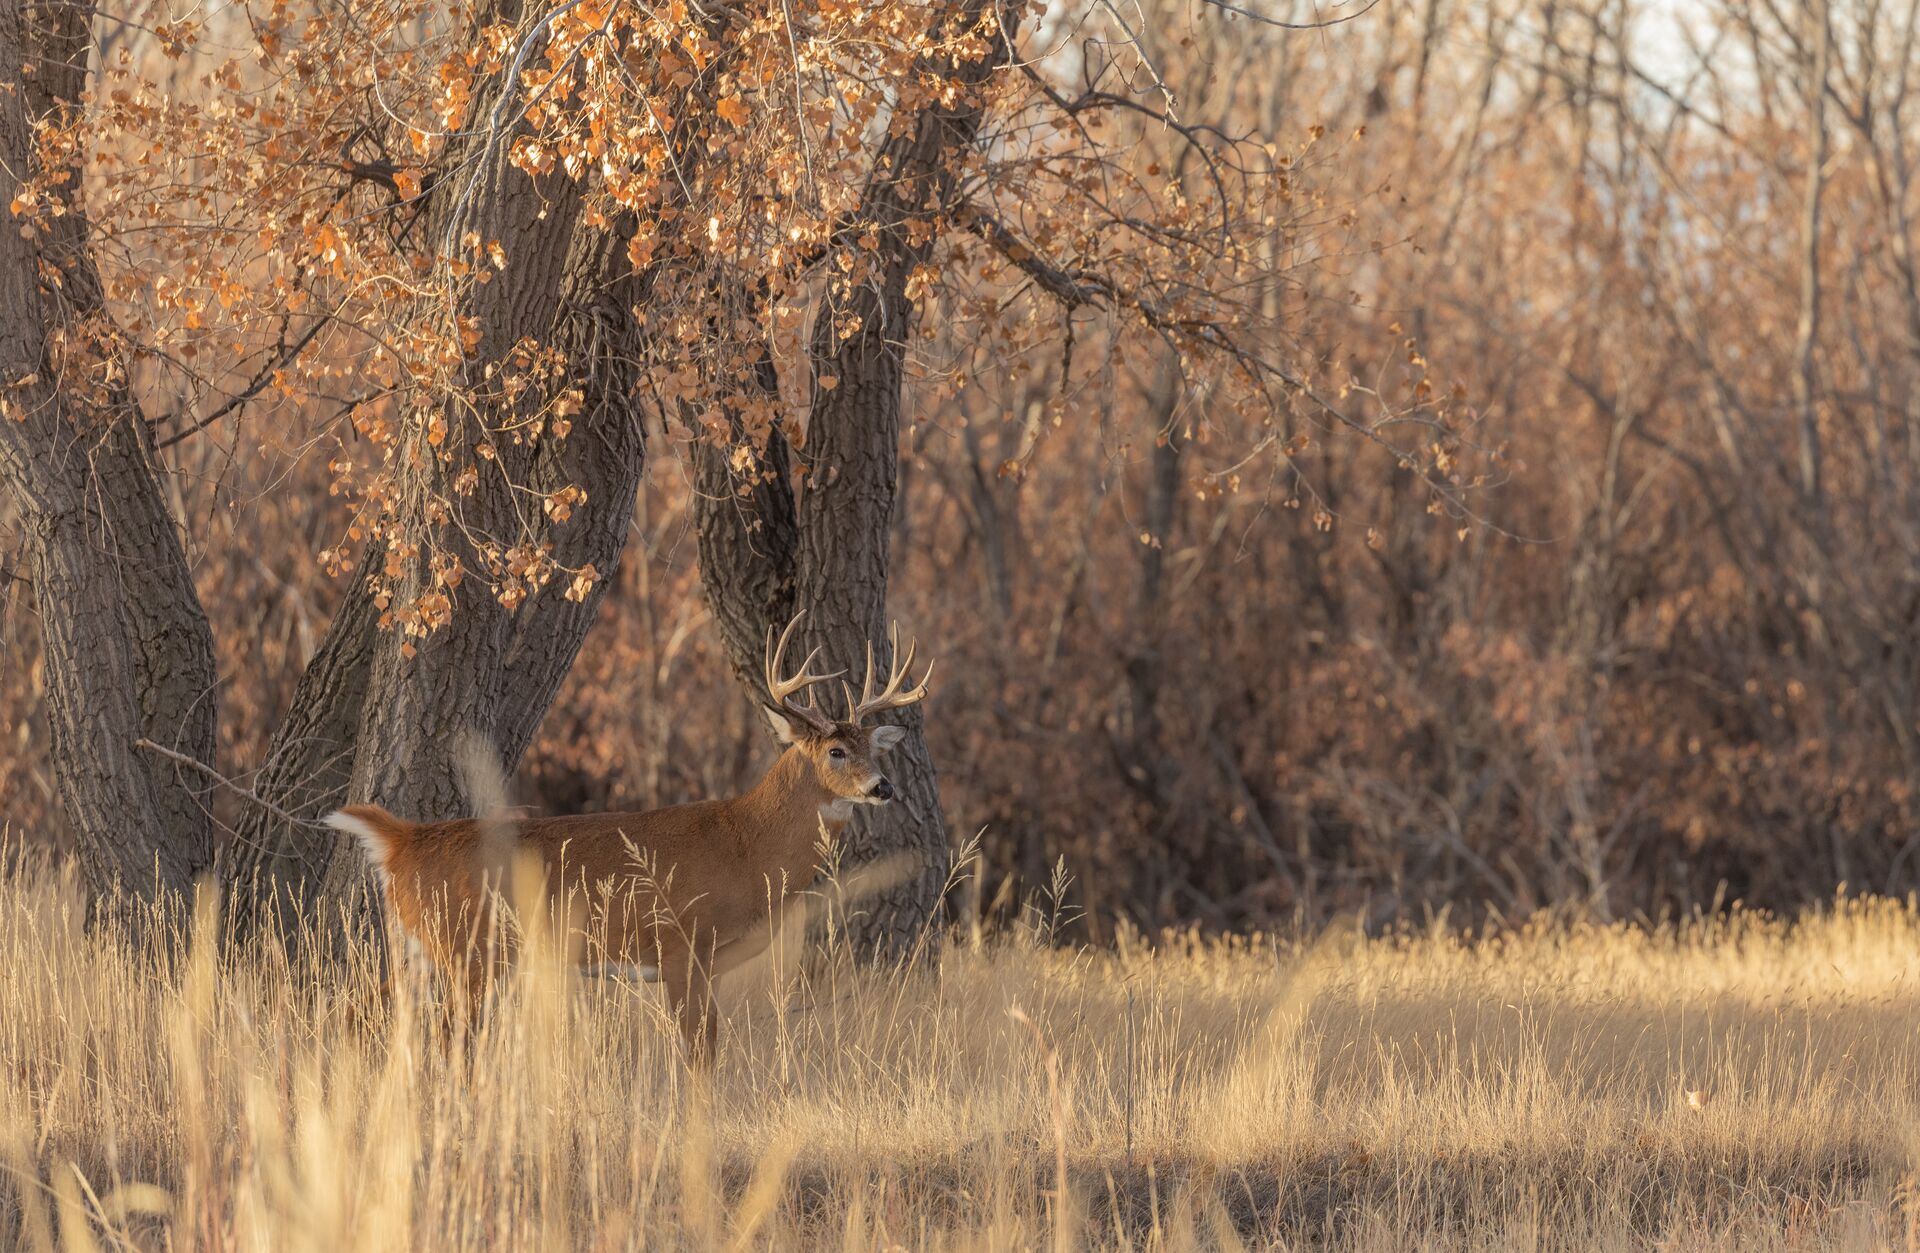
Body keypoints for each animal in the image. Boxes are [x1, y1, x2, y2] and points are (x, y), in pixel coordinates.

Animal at [324, 610, 936, 1059]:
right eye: (836, 751)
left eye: (874, 748)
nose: (883, 787)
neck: (746, 844)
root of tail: (403, 842)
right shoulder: (683, 946)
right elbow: (699, 1051)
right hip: (466, 947)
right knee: (447, 1033)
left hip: (423, 948)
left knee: (362, 1007)